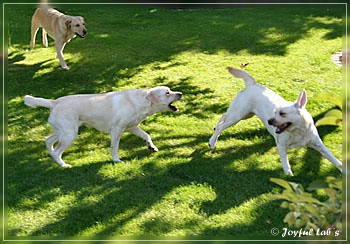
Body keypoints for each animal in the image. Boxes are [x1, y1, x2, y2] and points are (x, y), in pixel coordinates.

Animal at [23, 86, 183, 168]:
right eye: (167, 92)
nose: (180, 93)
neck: (143, 102)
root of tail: (54, 102)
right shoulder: (117, 130)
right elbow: (114, 147)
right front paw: (116, 160)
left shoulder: (132, 127)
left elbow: (147, 135)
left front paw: (152, 147)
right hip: (69, 134)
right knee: (57, 151)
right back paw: (63, 165)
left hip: (63, 131)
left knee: (48, 140)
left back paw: (51, 155)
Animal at [209, 66, 344, 175]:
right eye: (275, 112)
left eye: (282, 113)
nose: (269, 121)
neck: (298, 131)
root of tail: (252, 83)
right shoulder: (281, 146)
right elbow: (286, 164)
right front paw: (289, 177)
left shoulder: (319, 144)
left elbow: (334, 159)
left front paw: (343, 170)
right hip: (238, 115)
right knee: (221, 126)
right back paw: (212, 142)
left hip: (244, 114)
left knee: (223, 116)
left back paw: (215, 128)